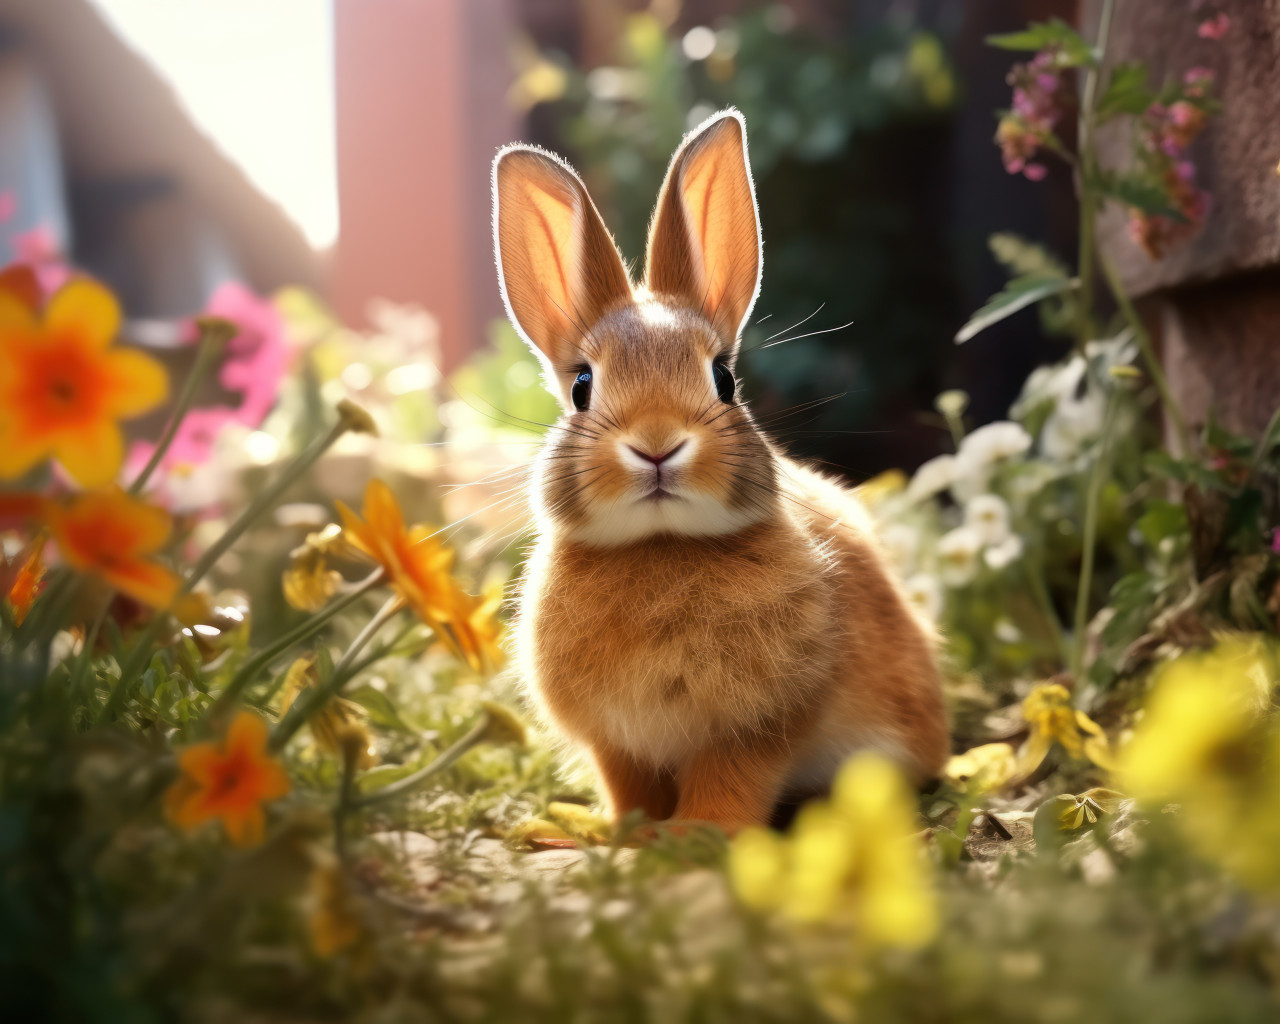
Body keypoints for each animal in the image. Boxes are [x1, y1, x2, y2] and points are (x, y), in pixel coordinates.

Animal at [492, 108, 949, 834]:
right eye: (583, 387)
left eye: (724, 380)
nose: (656, 444)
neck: (660, 545)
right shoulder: (616, 743)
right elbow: (626, 785)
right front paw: (615, 834)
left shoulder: (754, 730)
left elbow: (730, 782)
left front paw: (690, 837)